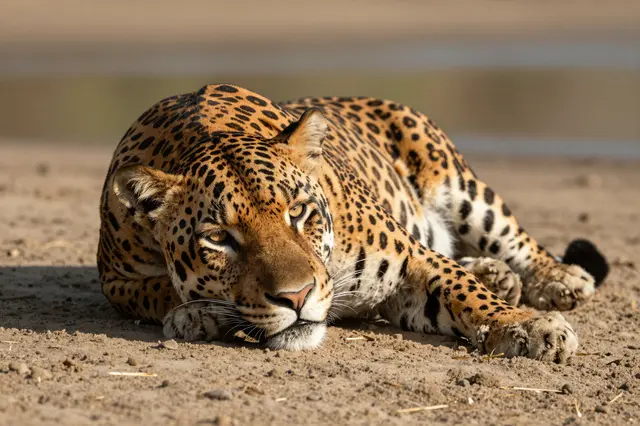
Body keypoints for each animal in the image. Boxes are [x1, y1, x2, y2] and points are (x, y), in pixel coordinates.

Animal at [98, 84, 609, 362]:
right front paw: (196, 312)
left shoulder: (408, 258)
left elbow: (465, 291)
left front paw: (530, 327)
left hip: (461, 185)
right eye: (219, 238)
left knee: (515, 240)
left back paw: (555, 279)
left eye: (298, 211)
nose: (296, 297)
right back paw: (498, 274)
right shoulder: (116, 280)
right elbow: (159, 289)